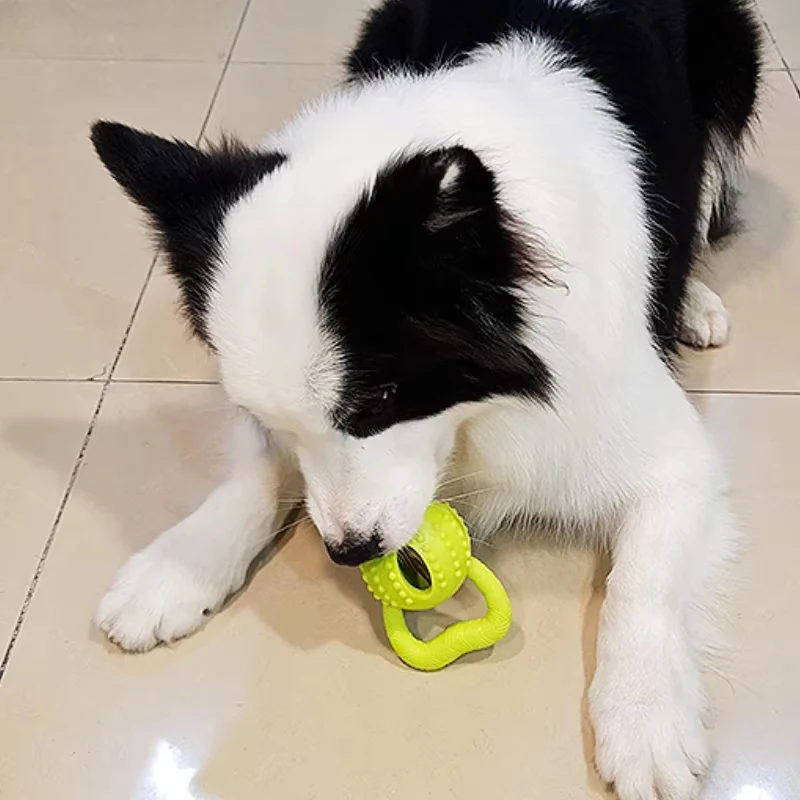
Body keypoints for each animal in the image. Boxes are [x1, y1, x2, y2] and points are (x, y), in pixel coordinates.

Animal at [89, 3, 764, 796]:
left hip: (736, 58)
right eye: (272, 417)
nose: (349, 552)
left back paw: (692, 300)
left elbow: (643, 586)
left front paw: (645, 718)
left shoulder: (668, 456)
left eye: (379, 398)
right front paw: (179, 566)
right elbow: (253, 476)